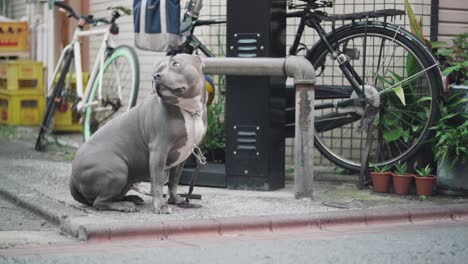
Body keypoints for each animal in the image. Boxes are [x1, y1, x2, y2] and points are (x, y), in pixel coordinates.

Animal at [69, 54, 207, 213]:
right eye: (158, 69)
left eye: (176, 64)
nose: (156, 76)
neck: (189, 111)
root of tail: (72, 177)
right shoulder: (158, 151)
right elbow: (158, 183)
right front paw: (160, 206)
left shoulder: (183, 157)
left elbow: (173, 181)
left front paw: (175, 199)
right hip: (118, 169)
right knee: (100, 202)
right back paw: (125, 205)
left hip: (126, 179)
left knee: (112, 197)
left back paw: (132, 198)